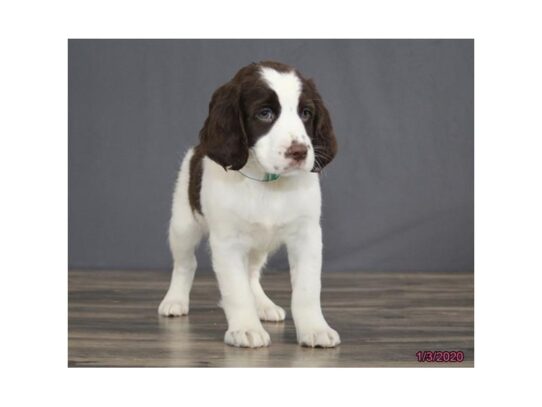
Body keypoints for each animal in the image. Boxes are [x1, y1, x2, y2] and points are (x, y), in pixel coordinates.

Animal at [159, 62, 342, 350]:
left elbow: (307, 288)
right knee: (185, 263)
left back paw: (264, 305)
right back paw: (175, 300)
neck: (267, 184)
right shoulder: (227, 242)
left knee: (252, 274)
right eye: (265, 114)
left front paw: (315, 328)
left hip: (258, 246)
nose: (300, 152)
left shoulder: (307, 236)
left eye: (306, 113)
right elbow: (236, 290)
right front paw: (245, 328)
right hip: (183, 225)